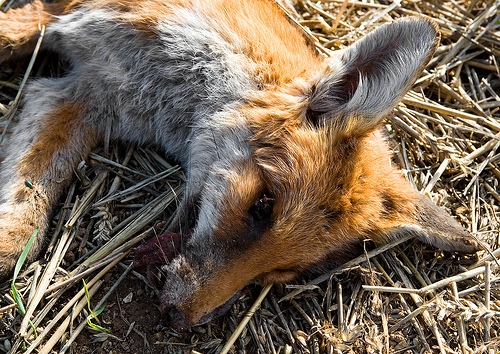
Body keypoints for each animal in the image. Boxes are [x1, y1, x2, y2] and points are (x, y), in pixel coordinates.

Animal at [0, 0, 480, 330]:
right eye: (263, 205)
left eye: (279, 274)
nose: (178, 317)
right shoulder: (66, 26)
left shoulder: (79, 97)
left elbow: (30, 197)